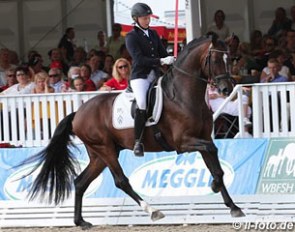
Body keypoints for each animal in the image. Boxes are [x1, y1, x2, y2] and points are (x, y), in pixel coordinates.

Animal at [19, 35, 245, 228]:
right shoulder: (183, 142)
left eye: (230, 59)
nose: (226, 89)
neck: (183, 96)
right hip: (105, 149)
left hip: (99, 154)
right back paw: (153, 211)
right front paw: (215, 187)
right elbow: (213, 154)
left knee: (80, 182)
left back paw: (81, 221)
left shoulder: (202, 138)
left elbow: (216, 167)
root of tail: (78, 113)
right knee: (121, 181)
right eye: (215, 59)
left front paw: (233, 207)